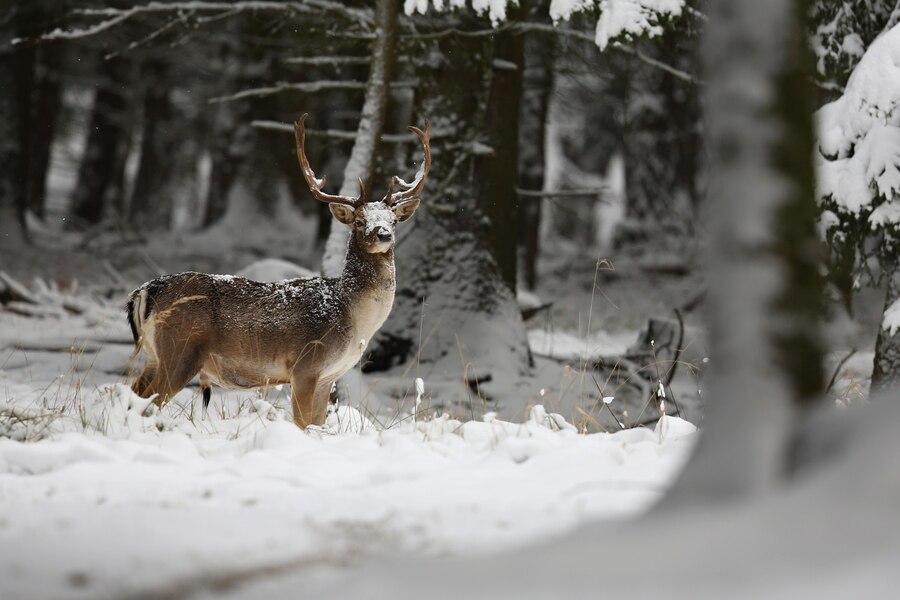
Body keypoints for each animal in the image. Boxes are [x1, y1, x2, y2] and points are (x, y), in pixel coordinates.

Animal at [125, 113, 430, 426]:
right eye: (359, 221)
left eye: (393, 220)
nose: (383, 234)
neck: (353, 317)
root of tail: (146, 290)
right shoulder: (306, 366)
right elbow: (303, 424)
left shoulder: (328, 377)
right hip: (180, 350)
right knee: (150, 403)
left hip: (154, 356)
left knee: (133, 396)